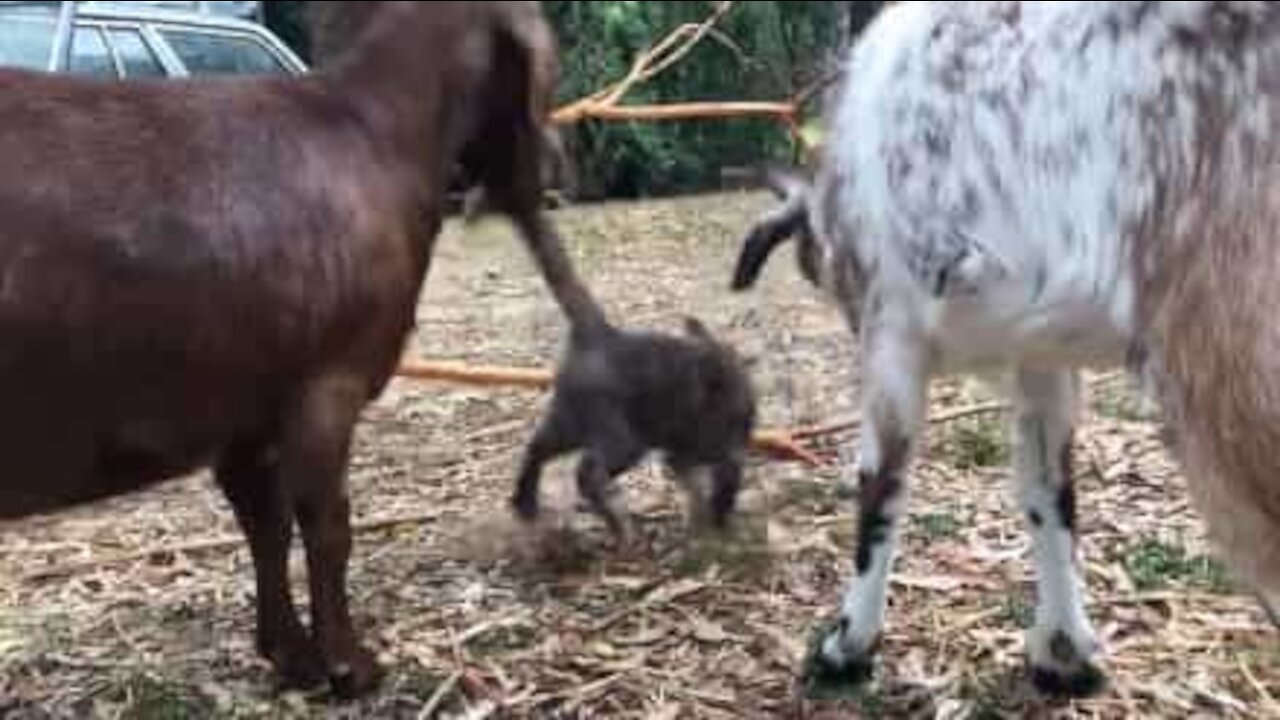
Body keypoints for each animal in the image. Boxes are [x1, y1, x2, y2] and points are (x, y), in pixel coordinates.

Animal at [0, 0, 581, 696]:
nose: (559, 166)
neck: (378, 131)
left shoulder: (248, 406)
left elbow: (265, 523)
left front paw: (291, 656)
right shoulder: (326, 380)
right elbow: (327, 523)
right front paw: (351, 665)